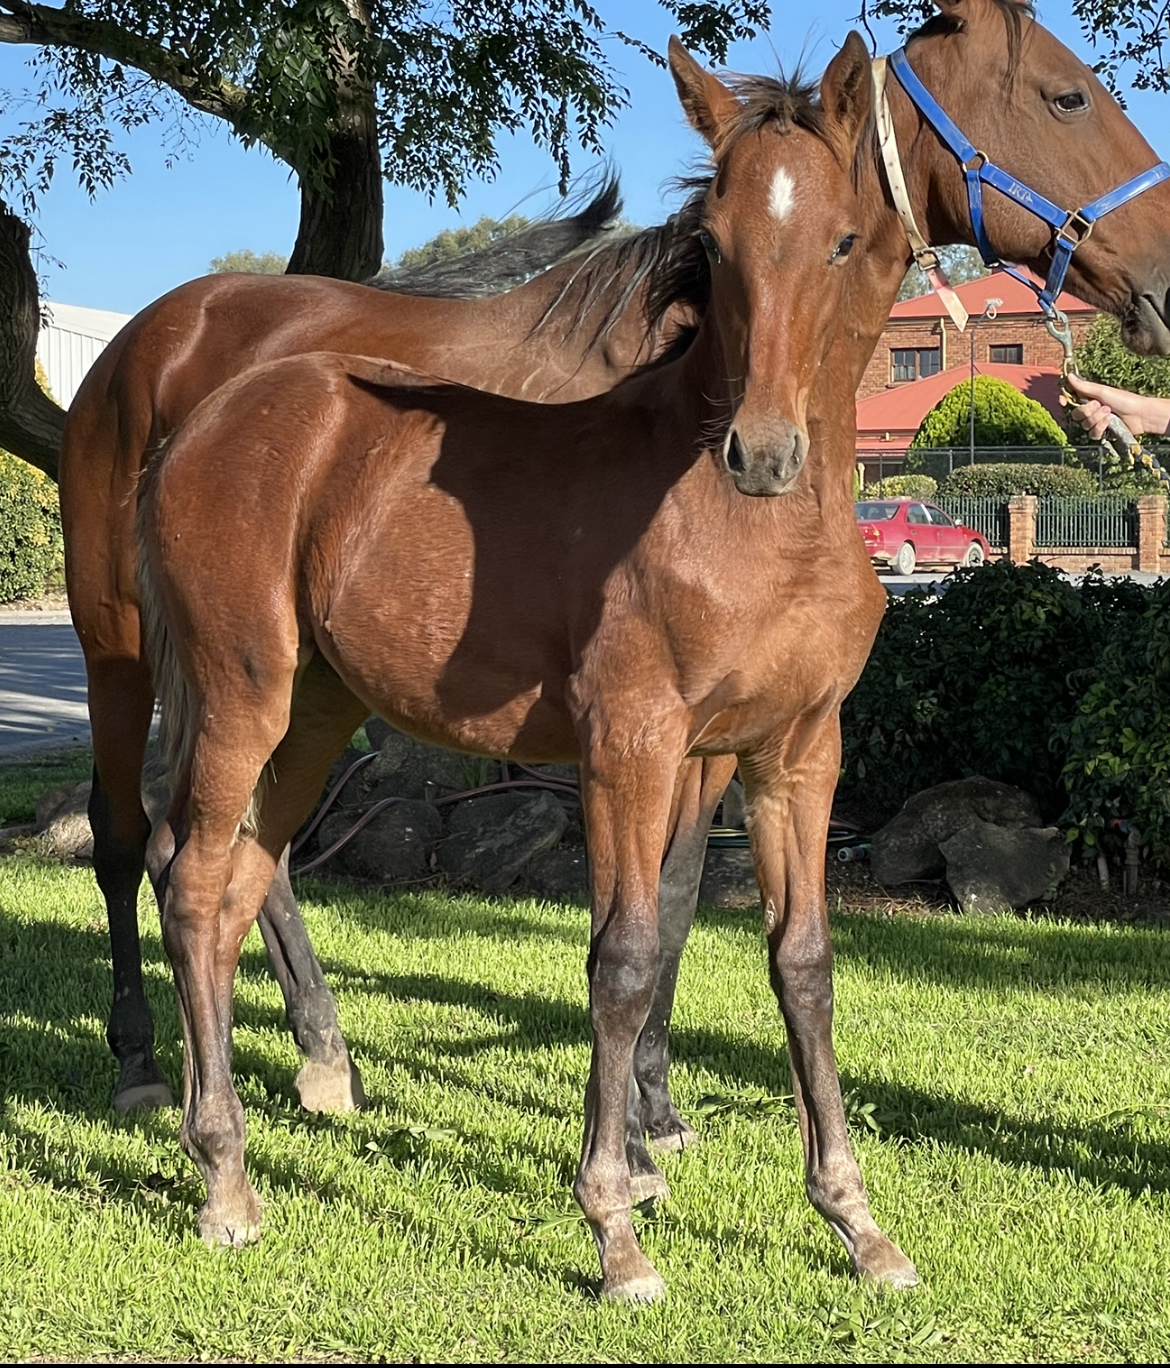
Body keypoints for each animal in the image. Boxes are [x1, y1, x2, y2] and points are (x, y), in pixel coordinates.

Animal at [138, 33, 890, 1302]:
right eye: (714, 243)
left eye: (841, 238)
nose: (764, 452)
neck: (760, 536)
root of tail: (208, 418)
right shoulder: (630, 741)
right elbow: (624, 959)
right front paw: (617, 1226)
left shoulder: (796, 751)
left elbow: (804, 961)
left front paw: (856, 1221)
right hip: (246, 689)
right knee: (190, 882)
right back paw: (226, 1182)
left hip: (319, 714)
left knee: (240, 884)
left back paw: (247, 1123)